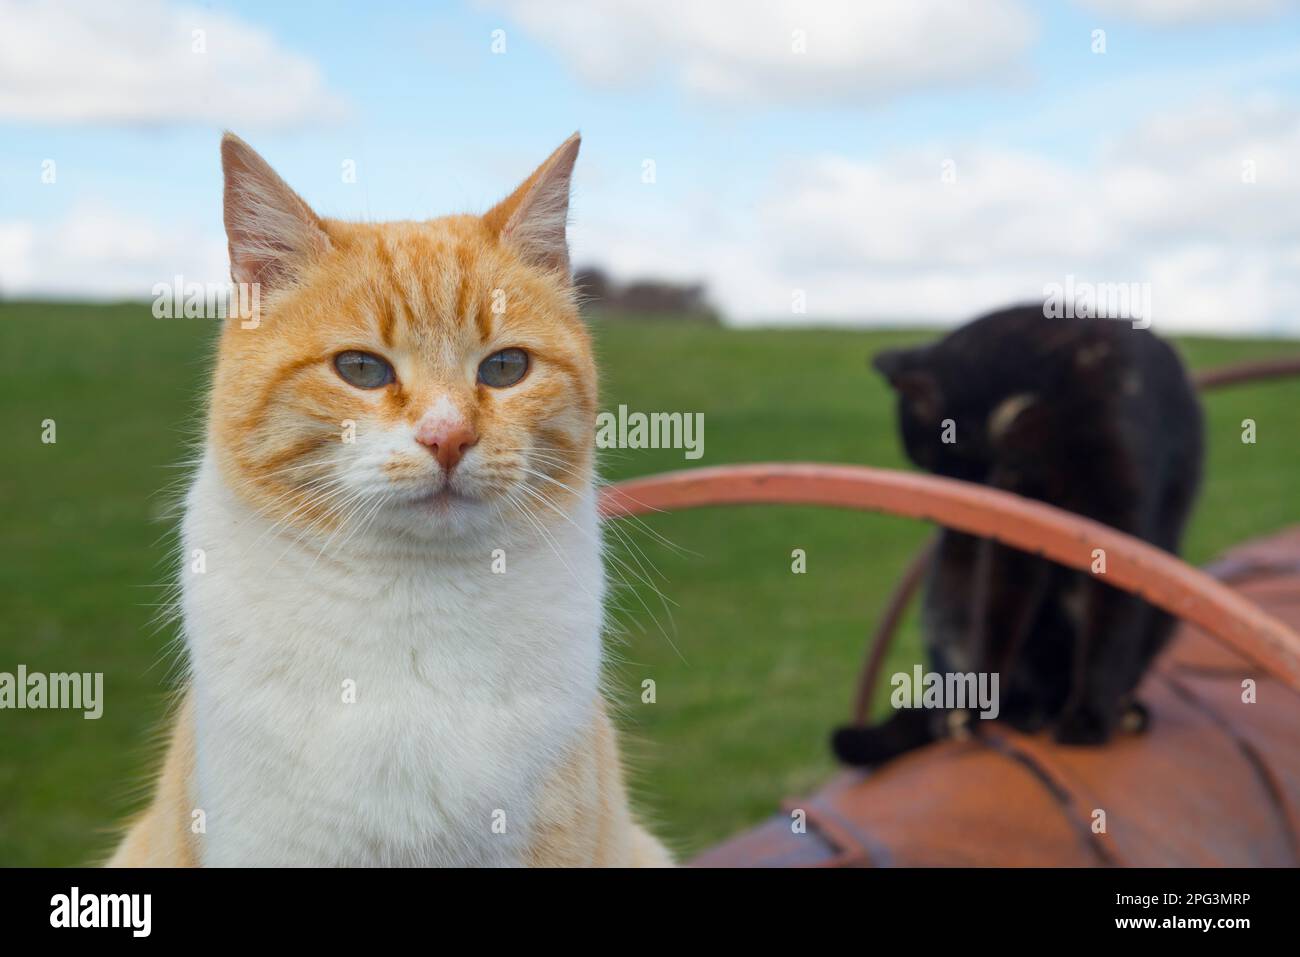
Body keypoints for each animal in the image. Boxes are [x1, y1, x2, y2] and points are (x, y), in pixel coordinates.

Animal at [832, 302, 1206, 764]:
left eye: (927, 457)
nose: (945, 508)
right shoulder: (1016, 517)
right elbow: (1000, 612)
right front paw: (979, 707)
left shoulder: (1121, 517)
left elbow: (1109, 631)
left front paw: (1089, 716)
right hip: (954, 583)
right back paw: (1015, 711)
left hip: (1166, 604)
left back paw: (1119, 710)